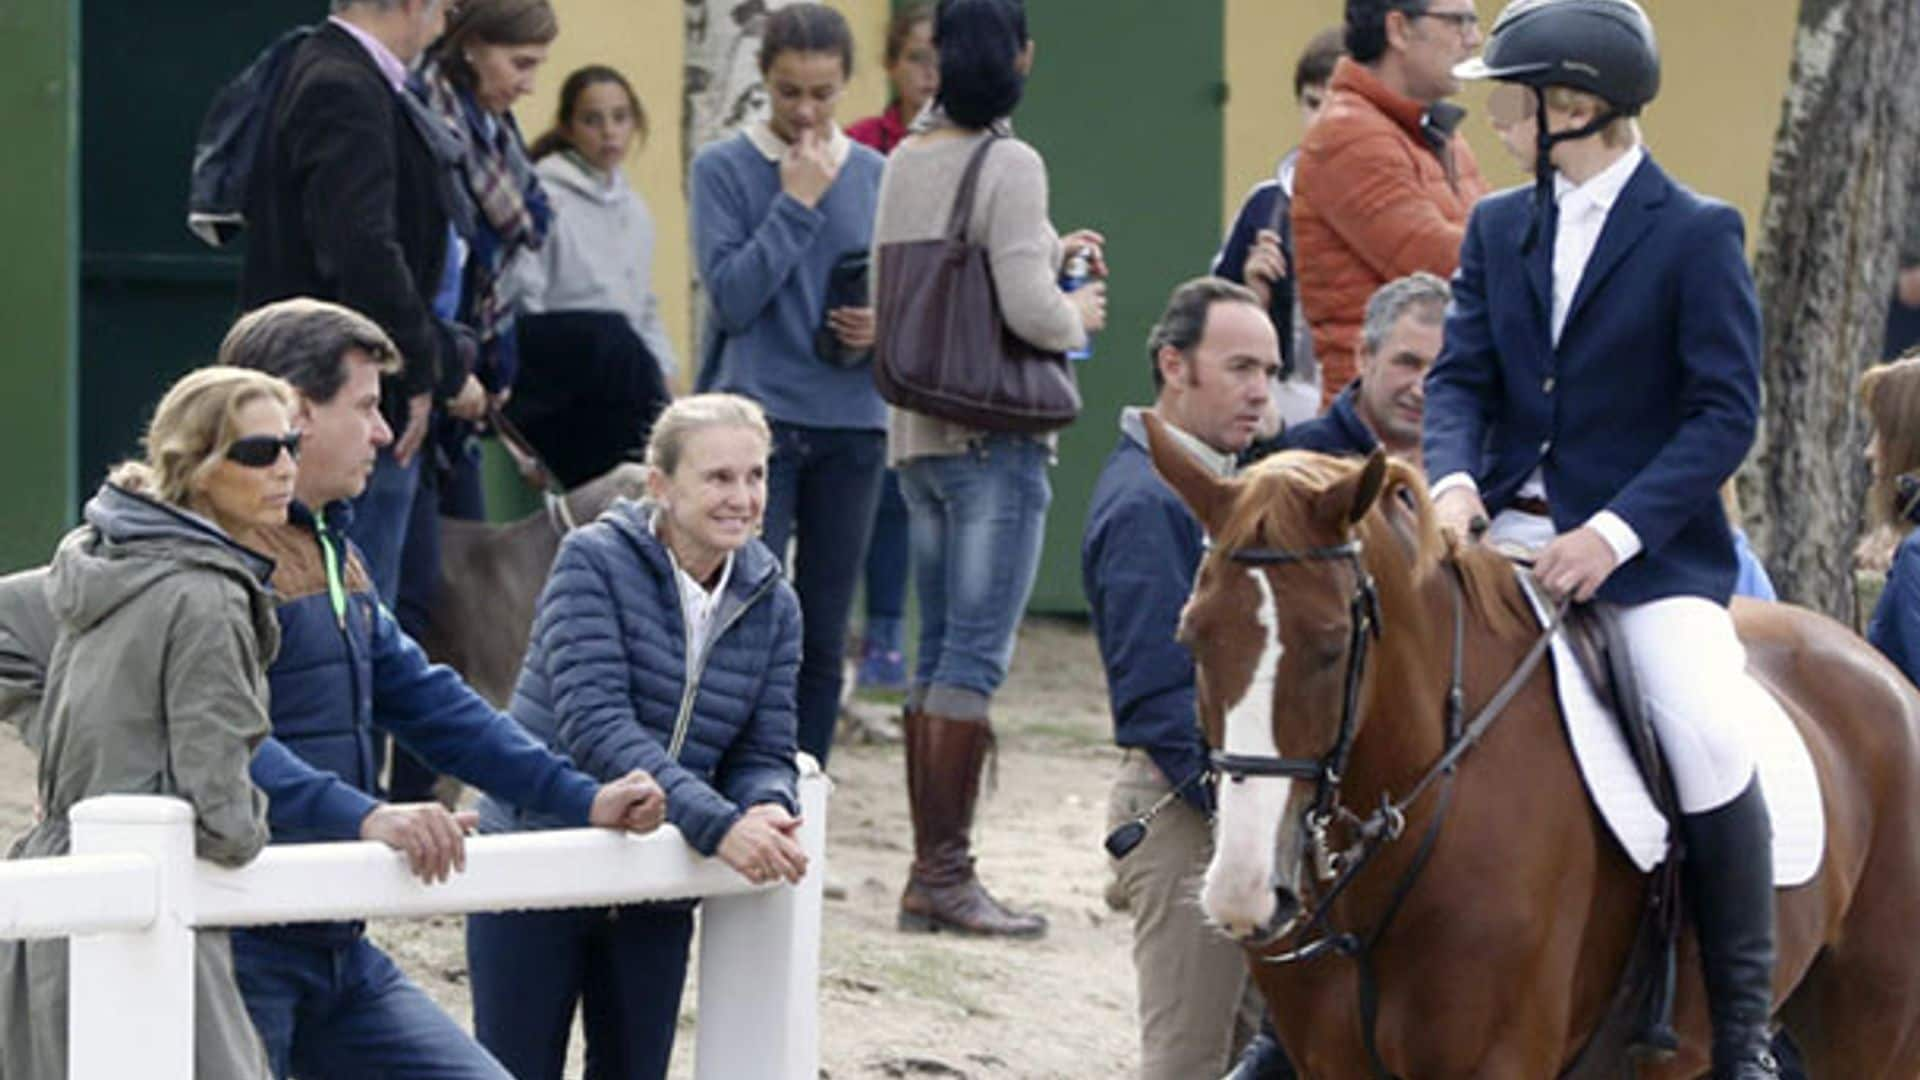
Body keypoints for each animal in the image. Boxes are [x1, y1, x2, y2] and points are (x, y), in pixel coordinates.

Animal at [1144, 413, 1920, 1076]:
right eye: (1191, 637)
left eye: (1333, 646)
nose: (1243, 892)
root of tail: (1885, 673)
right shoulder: (1330, 1064)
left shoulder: (1497, 1060)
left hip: (1873, 1030)